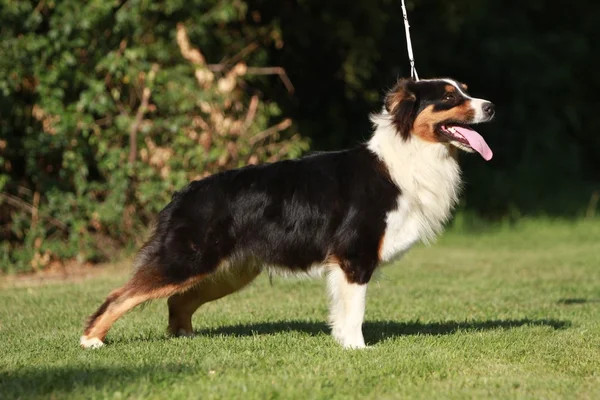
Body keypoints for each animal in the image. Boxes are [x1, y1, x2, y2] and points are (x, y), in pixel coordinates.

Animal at [82, 76, 496, 348]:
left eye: (464, 90)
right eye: (448, 97)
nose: (491, 106)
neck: (407, 156)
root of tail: (184, 192)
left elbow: (344, 312)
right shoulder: (354, 256)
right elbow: (355, 312)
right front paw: (357, 350)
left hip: (229, 271)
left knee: (177, 300)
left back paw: (185, 338)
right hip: (186, 259)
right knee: (120, 295)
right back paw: (91, 340)